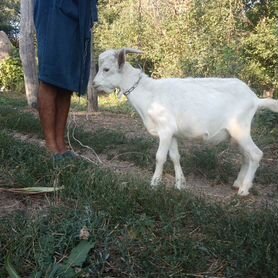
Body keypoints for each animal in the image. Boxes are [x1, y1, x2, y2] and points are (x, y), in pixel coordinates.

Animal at [93, 48, 278, 195]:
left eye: (106, 69)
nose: (94, 84)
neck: (150, 93)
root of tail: (255, 99)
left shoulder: (165, 130)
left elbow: (160, 157)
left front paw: (154, 184)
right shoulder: (172, 133)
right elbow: (175, 157)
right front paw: (180, 184)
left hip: (239, 128)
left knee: (256, 154)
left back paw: (244, 190)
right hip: (236, 134)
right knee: (246, 156)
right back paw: (238, 183)